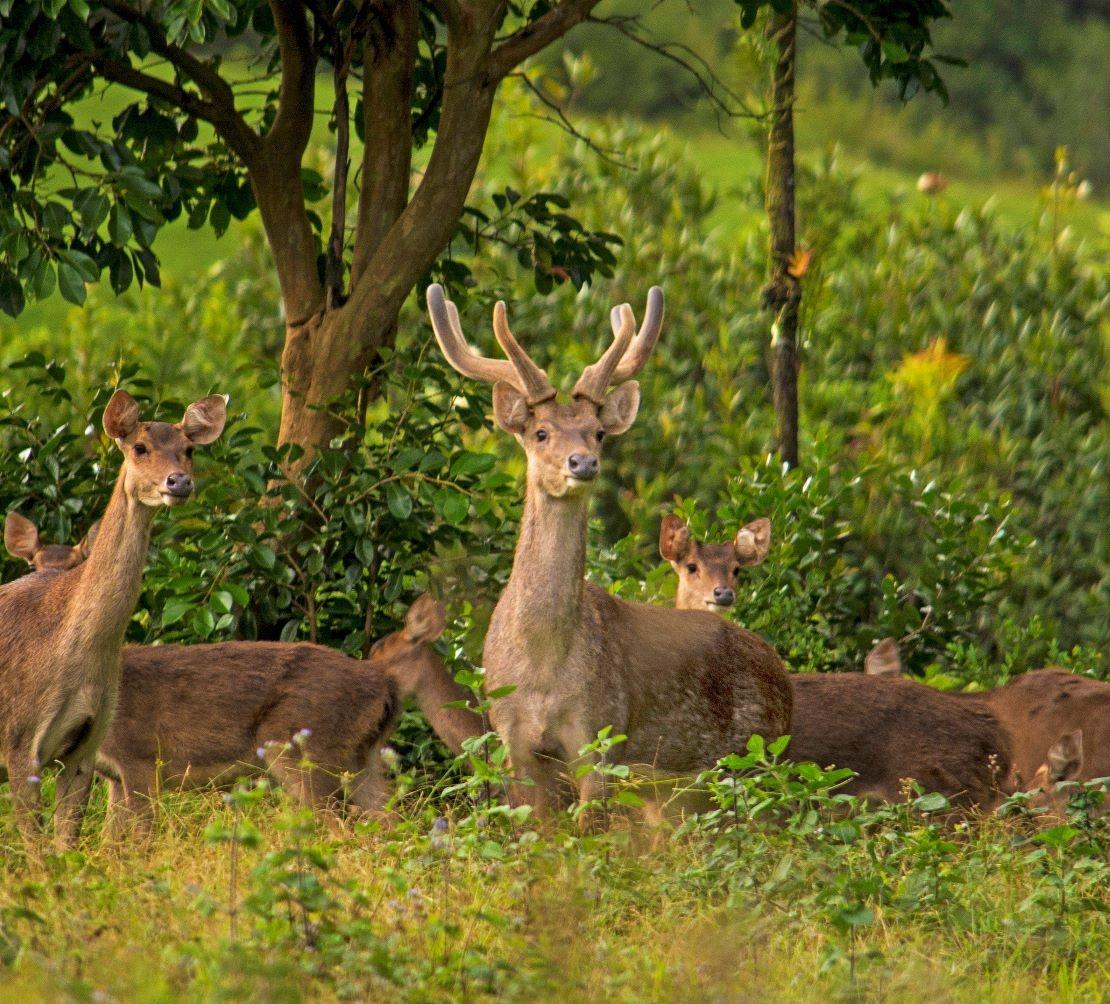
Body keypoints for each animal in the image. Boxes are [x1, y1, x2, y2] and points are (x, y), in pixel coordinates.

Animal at [0, 390, 225, 847]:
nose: (179, 482)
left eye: (189, 449)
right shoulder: (19, 738)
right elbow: (36, 849)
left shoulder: (85, 744)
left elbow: (65, 844)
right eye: (139, 447)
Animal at [102, 594, 483, 829]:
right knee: (387, 821)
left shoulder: (139, 757)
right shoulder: (114, 776)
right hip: (361, 758)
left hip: (296, 747)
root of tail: (382, 683)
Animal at [421, 281, 790, 816]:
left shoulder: (599, 733)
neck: (543, 669)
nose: (583, 462)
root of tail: (786, 677)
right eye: (540, 432)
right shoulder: (512, 737)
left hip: (759, 752)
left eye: (597, 432)